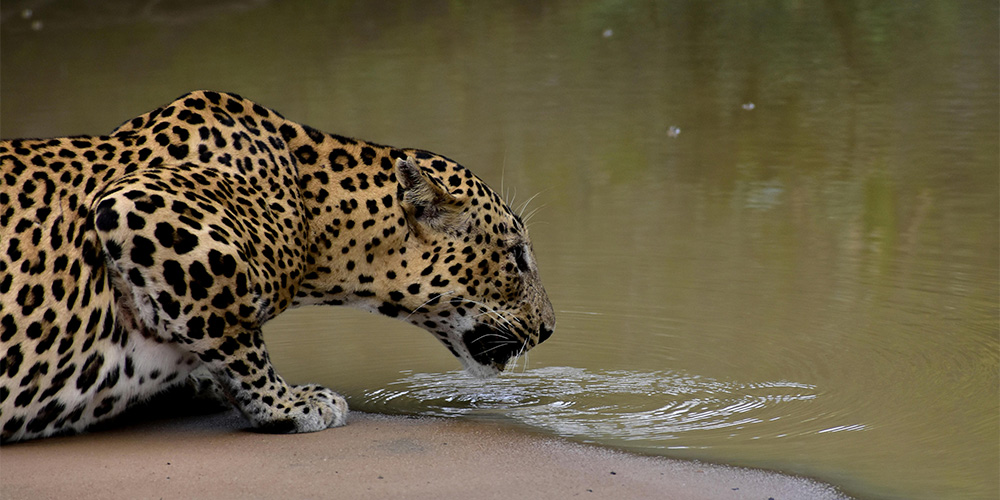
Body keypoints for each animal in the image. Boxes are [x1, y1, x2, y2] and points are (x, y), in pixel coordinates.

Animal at [0, 90, 555, 443]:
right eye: (516, 256)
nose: (549, 329)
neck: (317, 219)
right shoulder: (141, 208)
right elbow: (233, 329)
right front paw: (290, 403)